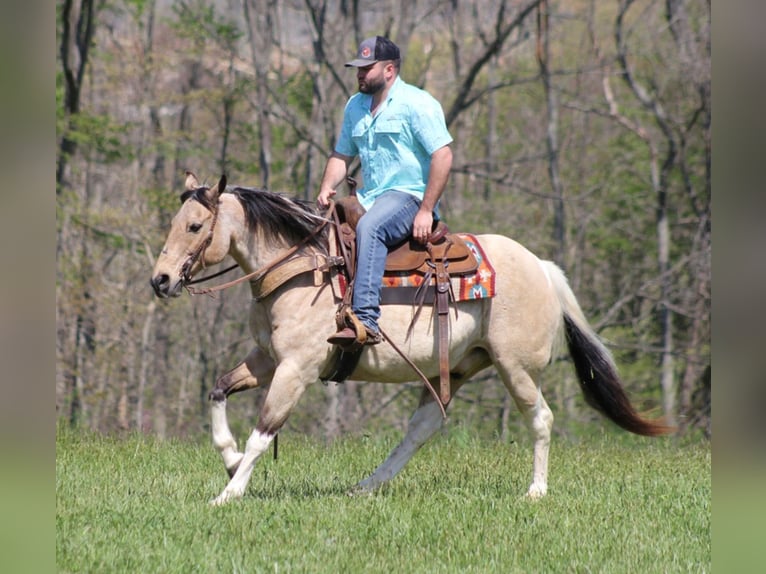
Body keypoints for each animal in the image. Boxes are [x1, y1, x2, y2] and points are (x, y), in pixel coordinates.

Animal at [150, 173, 672, 506]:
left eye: (195, 226)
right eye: (174, 223)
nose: (160, 280)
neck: (302, 269)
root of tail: (541, 267)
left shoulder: (296, 369)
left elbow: (264, 433)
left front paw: (230, 492)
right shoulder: (265, 360)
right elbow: (218, 391)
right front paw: (230, 459)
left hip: (516, 367)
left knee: (540, 418)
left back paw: (536, 491)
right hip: (459, 366)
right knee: (424, 426)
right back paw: (366, 486)